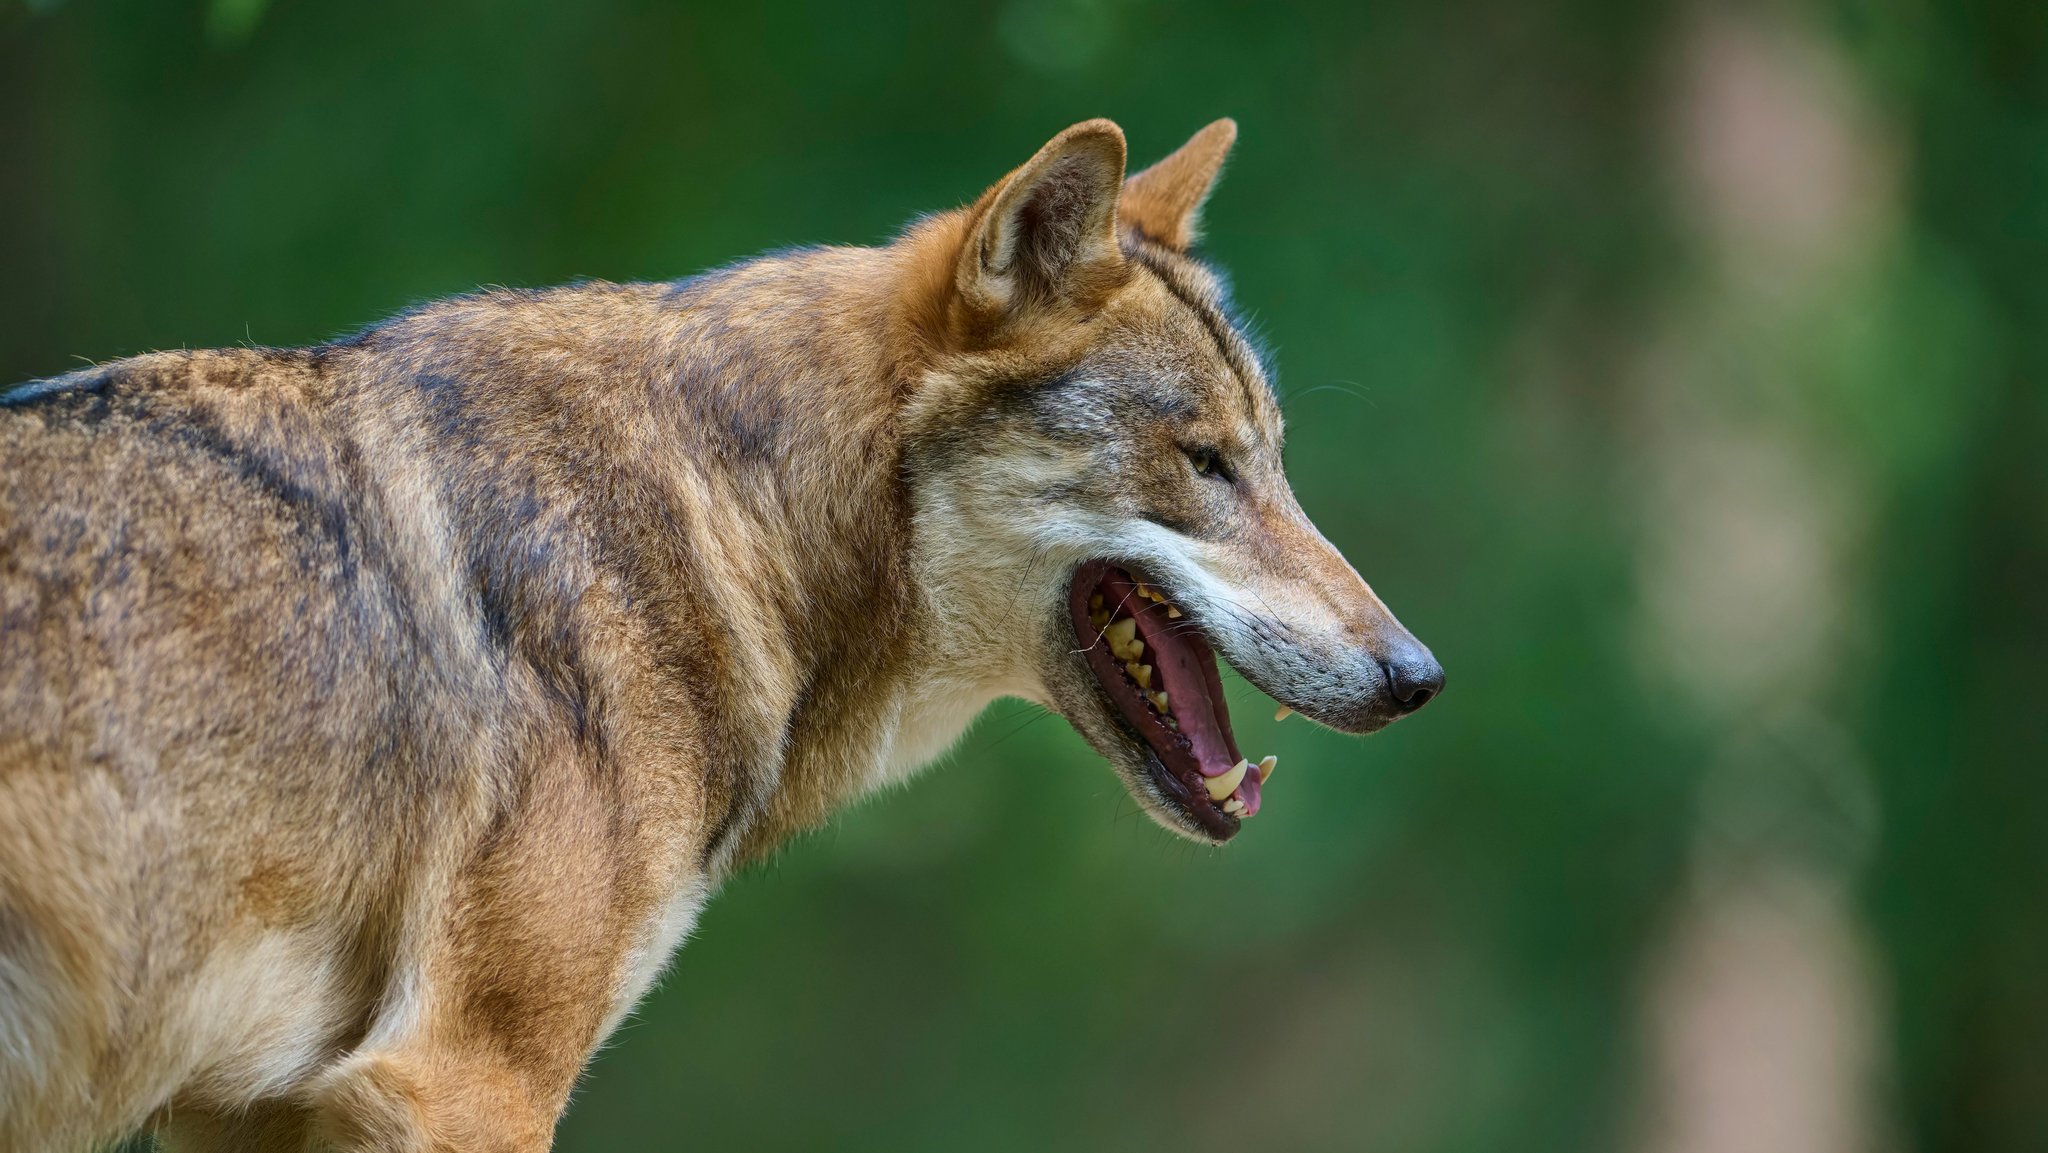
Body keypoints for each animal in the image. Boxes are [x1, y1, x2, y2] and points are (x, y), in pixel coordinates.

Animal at [0, 121, 1441, 1146]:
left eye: (1274, 462)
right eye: (1205, 463)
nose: (1417, 675)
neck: (725, 515)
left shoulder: (253, 1109)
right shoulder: (464, 1079)